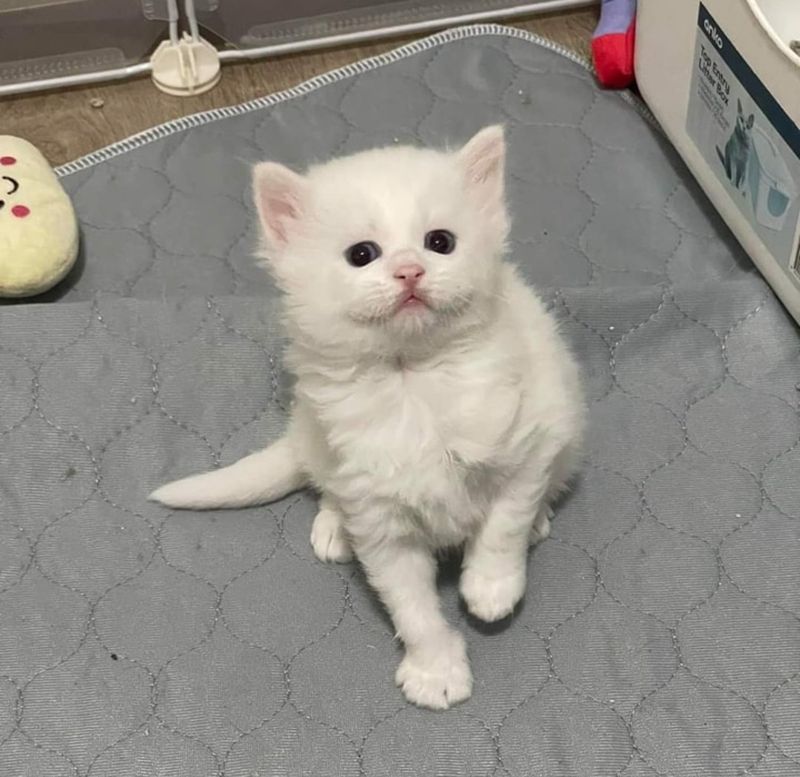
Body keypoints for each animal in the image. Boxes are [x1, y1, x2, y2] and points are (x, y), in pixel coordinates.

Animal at [152, 126, 588, 708]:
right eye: (362, 254)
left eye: (440, 242)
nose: (409, 269)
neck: (413, 381)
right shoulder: (379, 520)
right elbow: (410, 605)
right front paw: (435, 670)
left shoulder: (533, 438)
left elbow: (504, 522)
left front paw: (491, 587)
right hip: (318, 439)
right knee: (327, 486)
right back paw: (333, 526)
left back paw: (539, 520)